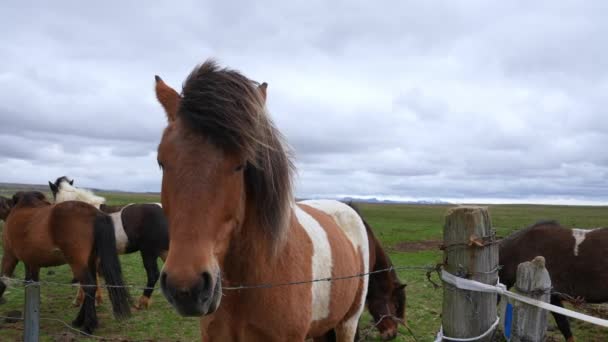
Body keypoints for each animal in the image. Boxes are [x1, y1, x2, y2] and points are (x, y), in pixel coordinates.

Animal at [0, 191, 131, 332]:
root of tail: (95, 213)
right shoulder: (31, 263)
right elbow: (31, 282)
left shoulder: (9, 256)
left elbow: (3, 282)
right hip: (90, 261)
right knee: (92, 286)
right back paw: (79, 320)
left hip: (77, 263)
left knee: (89, 286)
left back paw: (88, 326)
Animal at [49, 178, 169, 308]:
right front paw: (96, 299)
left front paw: (81, 300)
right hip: (163, 250)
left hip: (148, 251)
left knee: (153, 274)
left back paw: (142, 302)